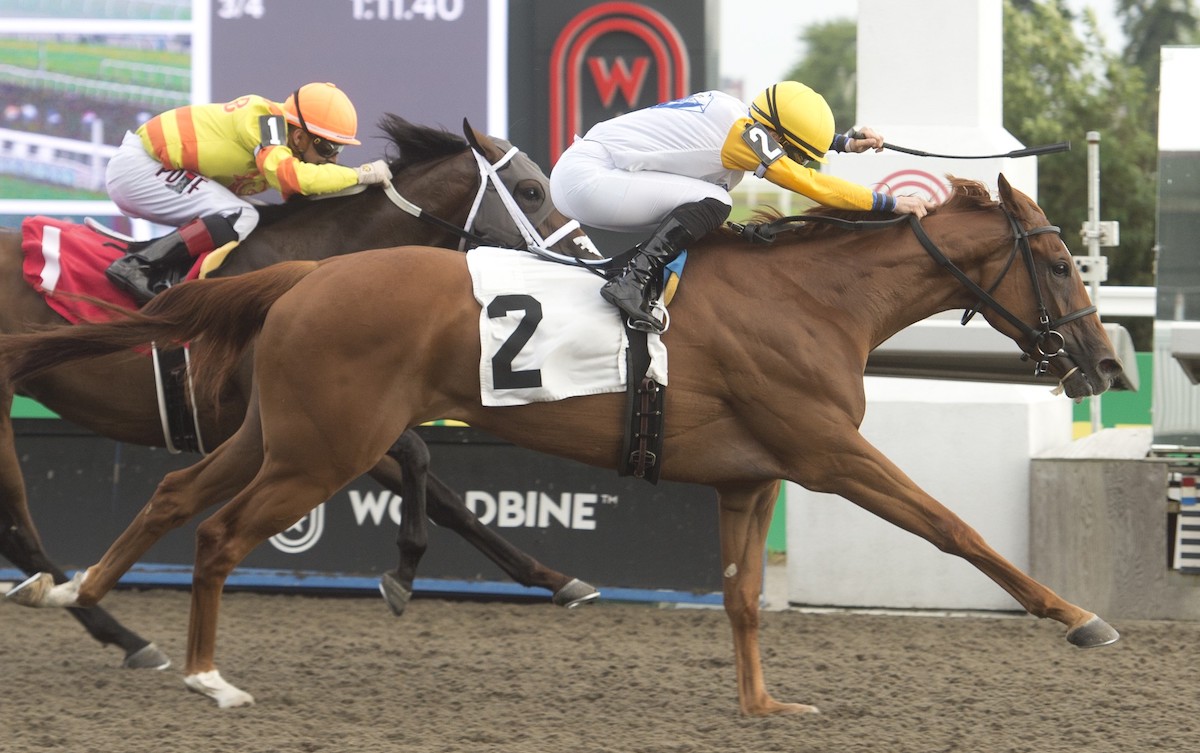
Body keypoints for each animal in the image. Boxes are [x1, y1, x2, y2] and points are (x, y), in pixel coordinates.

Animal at [0, 114, 600, 666]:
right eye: (532, 190)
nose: (588, 255)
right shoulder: (323, 418)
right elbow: (419, 458)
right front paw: (405, 570)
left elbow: (448, 498)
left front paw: (557, 580)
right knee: (20, 533)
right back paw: (123, 634)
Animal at [0, 175, 1123, 709]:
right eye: (1060, 261)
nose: (1104, 364)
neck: (814, 296)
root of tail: (304, 275)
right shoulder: (829, 455)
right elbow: (954, 528)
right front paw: (1080, 617)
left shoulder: (750, 476)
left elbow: (742, 597)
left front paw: (766, 705)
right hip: (324, 448)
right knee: (221, 534)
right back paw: (203, 673)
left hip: (278, 433)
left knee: (174, 496)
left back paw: (91, 600)